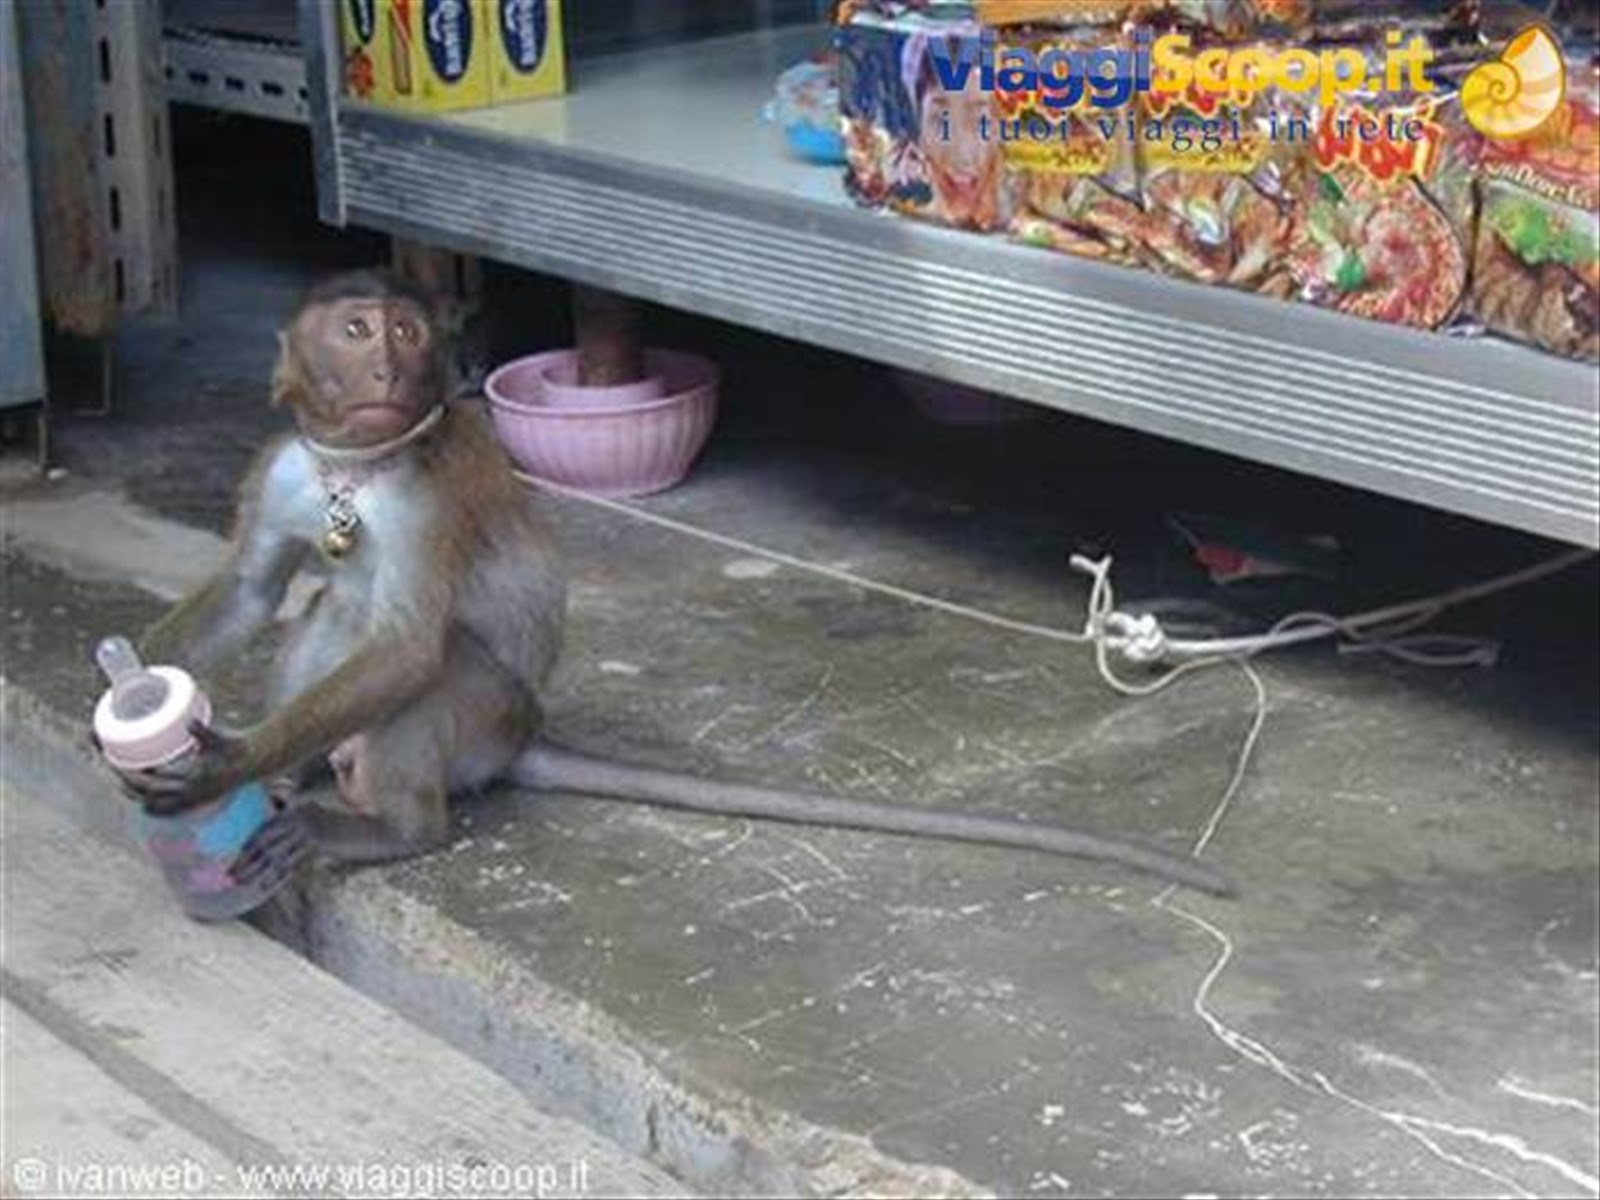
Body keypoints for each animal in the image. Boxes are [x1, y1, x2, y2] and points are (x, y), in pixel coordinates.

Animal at [114, 269, 1233, 898]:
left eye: (407, 331)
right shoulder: (284, 464)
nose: (393, 361)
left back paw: (390, 827)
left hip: (484, 718)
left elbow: (409, 645)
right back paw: (303, 772)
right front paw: (133, 702)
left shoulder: (436, 488)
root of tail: (521, 739)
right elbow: (255, 588)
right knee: (326, 608)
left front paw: (219, 763)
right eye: (357, 331)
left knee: (429, 666)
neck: (359, 465)